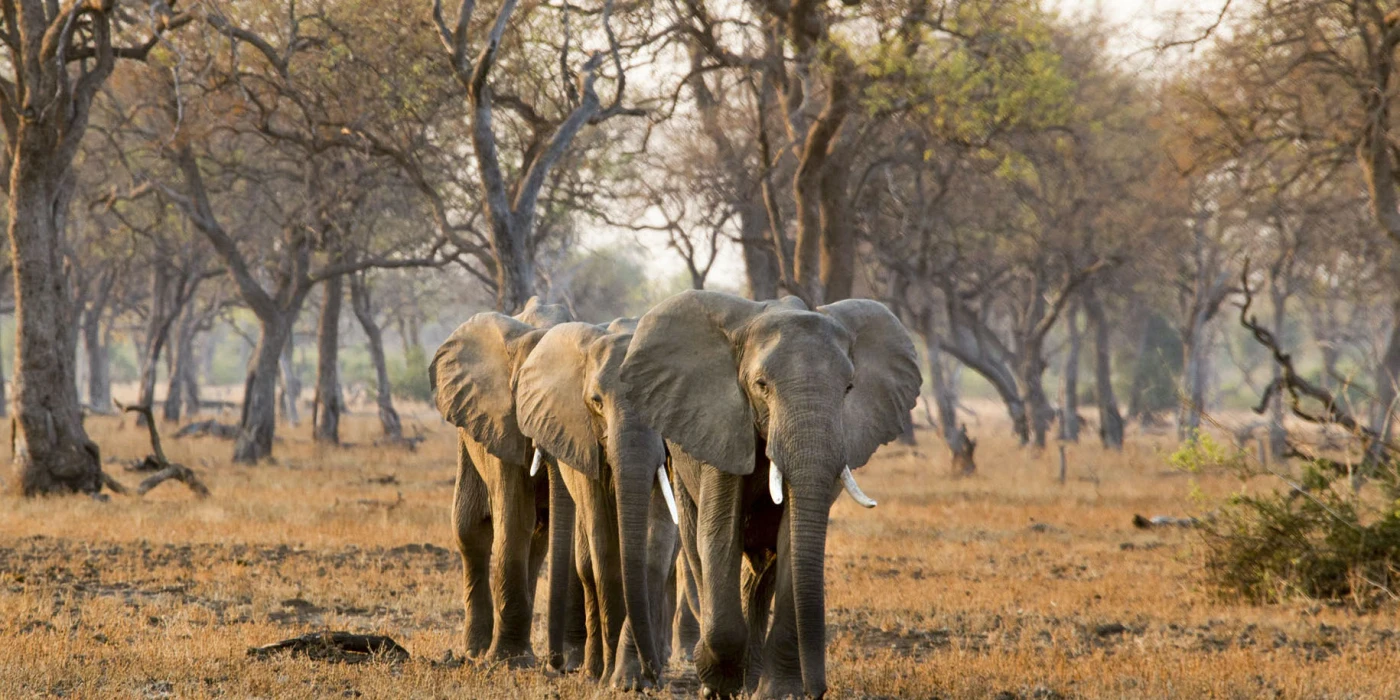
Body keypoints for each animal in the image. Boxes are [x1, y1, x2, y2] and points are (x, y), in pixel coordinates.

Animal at [428, 295, 576, 666]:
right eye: (523, 394)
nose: (559, 662)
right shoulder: (501, 422)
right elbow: (515, 516)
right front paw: (508, 661)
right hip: (468, 434)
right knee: (471, 528)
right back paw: (476, 651)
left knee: (539, 539)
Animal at [520, 320, 683, 688]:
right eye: (596, 402)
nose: (554, 664)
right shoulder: (585, 439)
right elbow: (605, 550)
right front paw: (620, 679)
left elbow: (654, 546)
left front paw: (634, 679)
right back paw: (595, 671)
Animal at [624, 288, 918, 694]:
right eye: (762, 386)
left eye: (848, 389)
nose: (819, 691)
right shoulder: (723, 423)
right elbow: (719, 532)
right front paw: (716, 684)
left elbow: (793, 540)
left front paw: (782, 694)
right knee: (697, 543)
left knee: (762, 570)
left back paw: (752, 682)